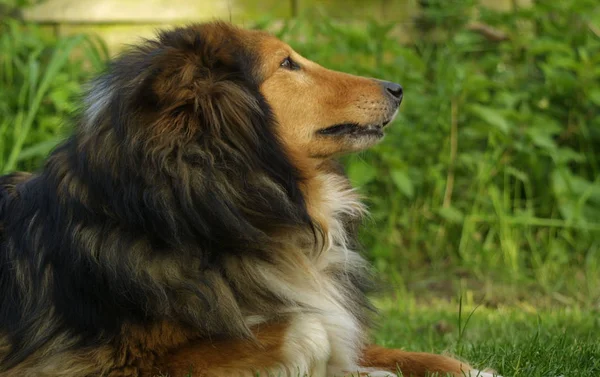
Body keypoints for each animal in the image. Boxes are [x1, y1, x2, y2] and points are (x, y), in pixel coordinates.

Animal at [0, 22, 496, 374]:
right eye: (287, 64)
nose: (396, 89)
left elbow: (367, 344)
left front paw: (465, 368)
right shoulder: (106, 363)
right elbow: (312, 330)